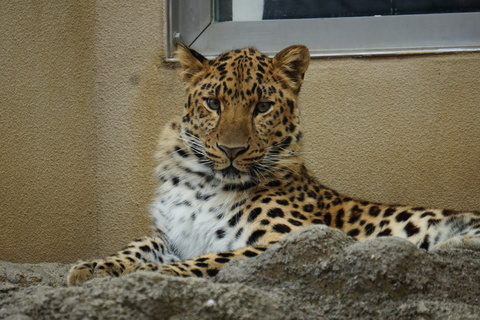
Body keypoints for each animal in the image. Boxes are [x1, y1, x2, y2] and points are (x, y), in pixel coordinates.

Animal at [67, 43, 480, 286]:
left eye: (262, 107)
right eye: (213, 103)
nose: (231, 150)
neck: (205, 183)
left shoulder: (289, 239)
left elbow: (212, 258)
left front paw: (153, 274)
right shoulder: (170, 233)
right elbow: (135, 246)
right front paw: (95, 266)